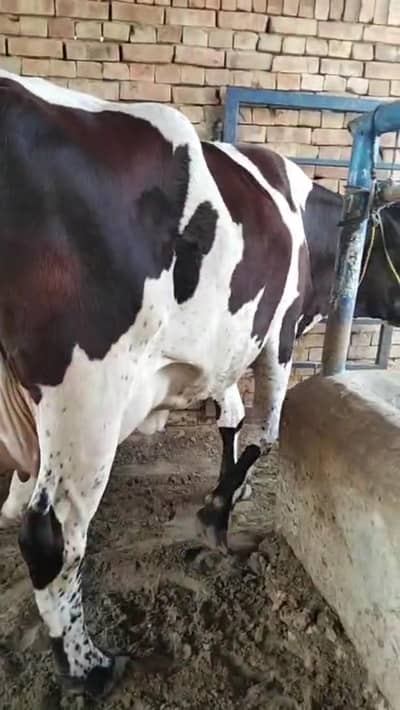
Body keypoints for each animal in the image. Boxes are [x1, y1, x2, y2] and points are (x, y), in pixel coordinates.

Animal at [0, 68, 400, 697]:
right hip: (87, 391)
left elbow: (230, 418)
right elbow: (265, 430)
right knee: (52, 532)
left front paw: (233, 490)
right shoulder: (279, 333)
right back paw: (90, 667)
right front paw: (217, 513)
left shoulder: (227, 345)